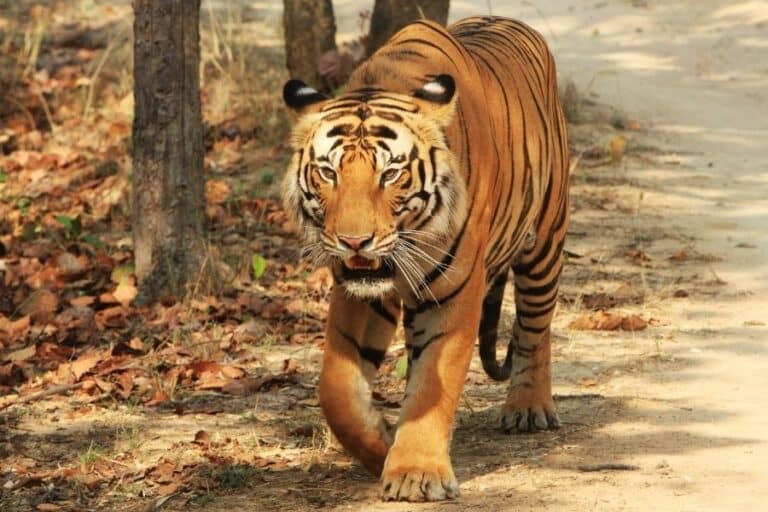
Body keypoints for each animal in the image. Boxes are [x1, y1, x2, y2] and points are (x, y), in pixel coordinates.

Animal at [281, 16, 569, 502]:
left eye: (391, 174)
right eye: (328, 172)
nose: (354, 241)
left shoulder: (454, 291)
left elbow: (434, 383)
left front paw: (416, 473)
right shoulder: (357, 293)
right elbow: (337, 388)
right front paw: (380, 446)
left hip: (545, 240)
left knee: (535, 326)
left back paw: (528, 407)